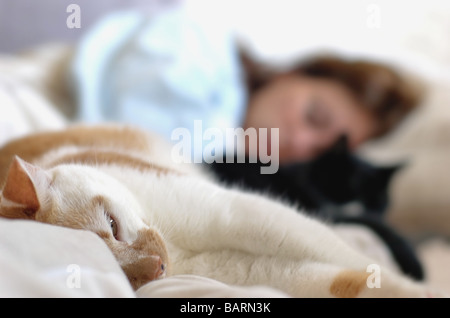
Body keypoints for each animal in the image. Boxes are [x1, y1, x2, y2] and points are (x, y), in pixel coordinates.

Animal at [0, 125, 440, 298]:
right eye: (123, 278)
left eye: (113, 224)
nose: (159, 267)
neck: (178, 248)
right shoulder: (262, 275)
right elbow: (349, 281)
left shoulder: (243, 214)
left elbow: (344, 255)